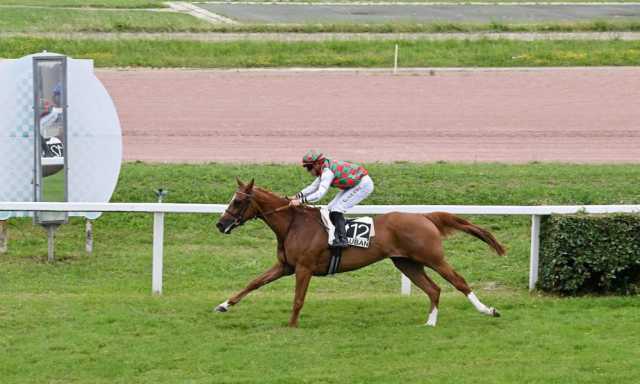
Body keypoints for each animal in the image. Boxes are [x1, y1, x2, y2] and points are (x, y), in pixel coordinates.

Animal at [215, 178, 504, 328]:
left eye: (238, 201)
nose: (220, 224)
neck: (293, 224)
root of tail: (425, 217)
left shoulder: (304, 268)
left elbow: (298, 299)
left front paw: (292, 326)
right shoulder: (285, 266)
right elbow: (253, 283)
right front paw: (223, 305)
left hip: (432, 257)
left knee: (459, 282)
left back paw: (488, 311)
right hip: (406, 263)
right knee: (434, 289)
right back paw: (430, 322)